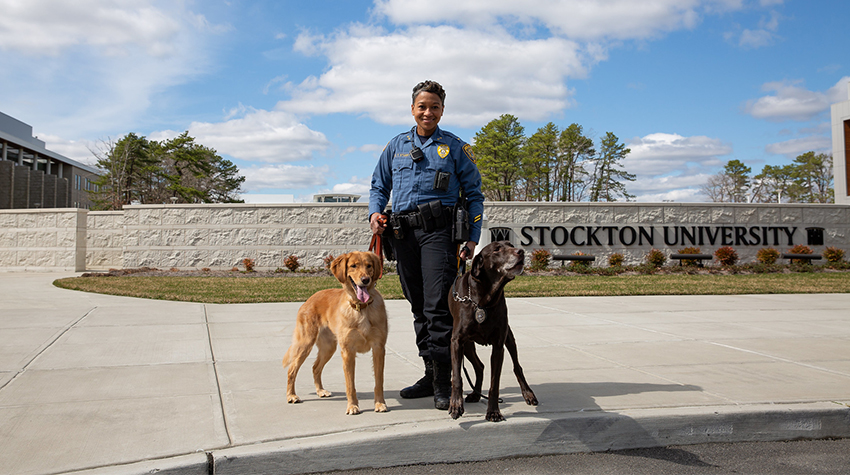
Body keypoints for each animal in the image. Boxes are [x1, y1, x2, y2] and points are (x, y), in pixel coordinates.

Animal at [448, 240, 532, 422]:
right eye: (496, 250)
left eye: (511, 245)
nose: (521, 251)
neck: (484, 300)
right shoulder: (457, 342)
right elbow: (457, 377)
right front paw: (456, 405)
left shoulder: (498, 346)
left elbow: (495, 384)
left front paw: (493, 411)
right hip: (468, 346)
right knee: (479, 366)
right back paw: (475, 394)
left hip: (509, 338)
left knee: (517, 366)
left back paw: (528, 393)